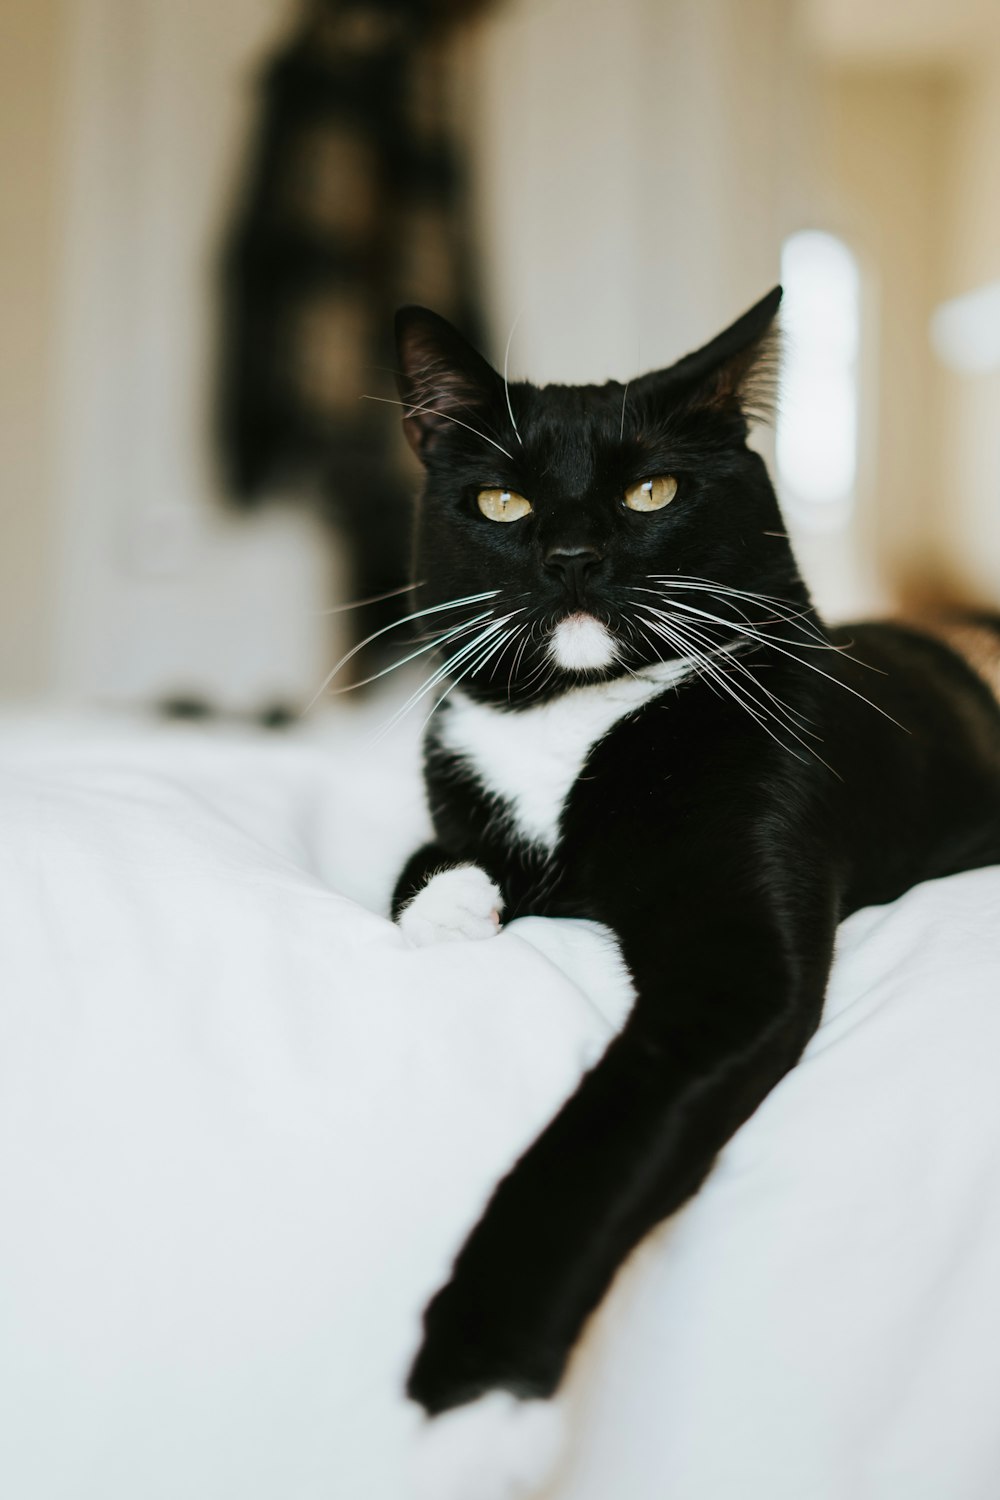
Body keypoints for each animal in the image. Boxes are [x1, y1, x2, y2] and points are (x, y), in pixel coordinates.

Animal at [386, 286, 1000, 1494]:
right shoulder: (456, 785)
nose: (574, 555)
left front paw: (476, 1400)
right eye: (500, 500)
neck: (578, 719)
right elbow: (423, 859)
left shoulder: (736, 956)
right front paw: (447, 917)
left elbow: (600, 1139)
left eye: (652, 491)